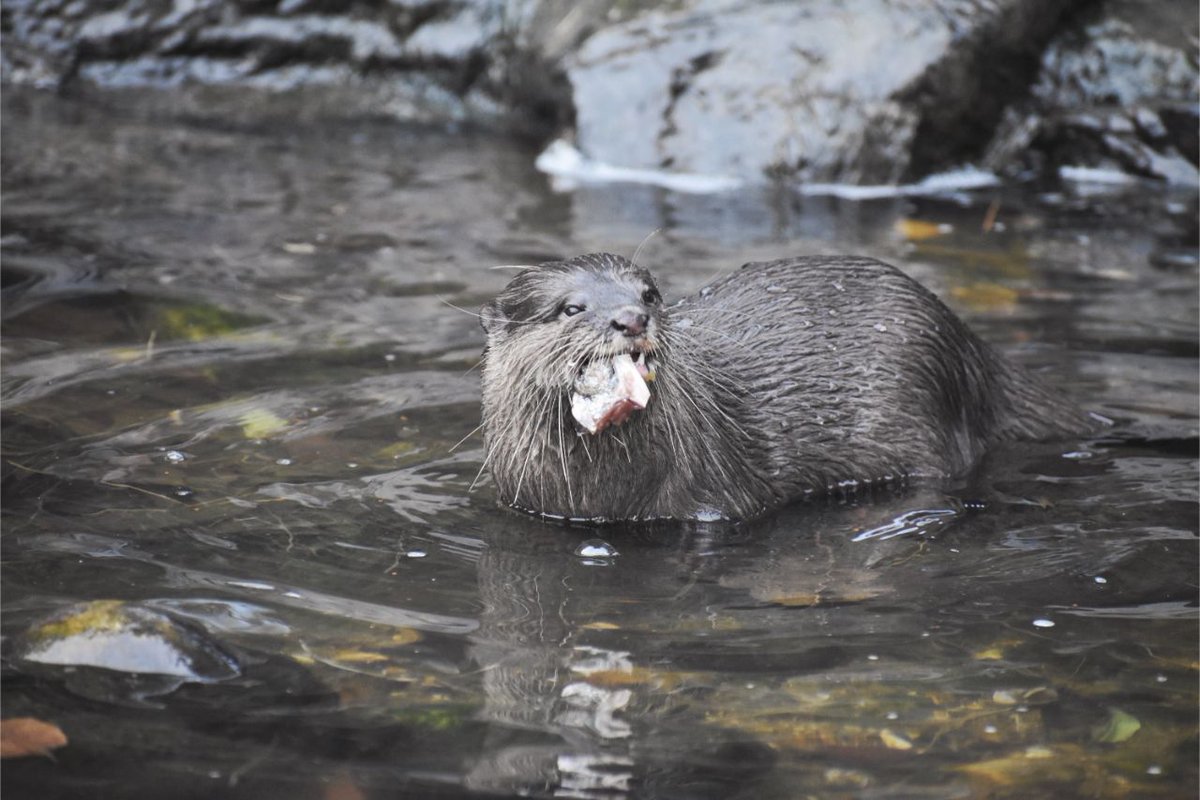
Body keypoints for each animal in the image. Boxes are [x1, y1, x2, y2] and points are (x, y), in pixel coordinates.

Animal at [478, 253, 1091, 521]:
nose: (631, 318)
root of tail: (968, 346)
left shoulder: (709, 505)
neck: (595, 498)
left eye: (649, 293)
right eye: (571, 308)